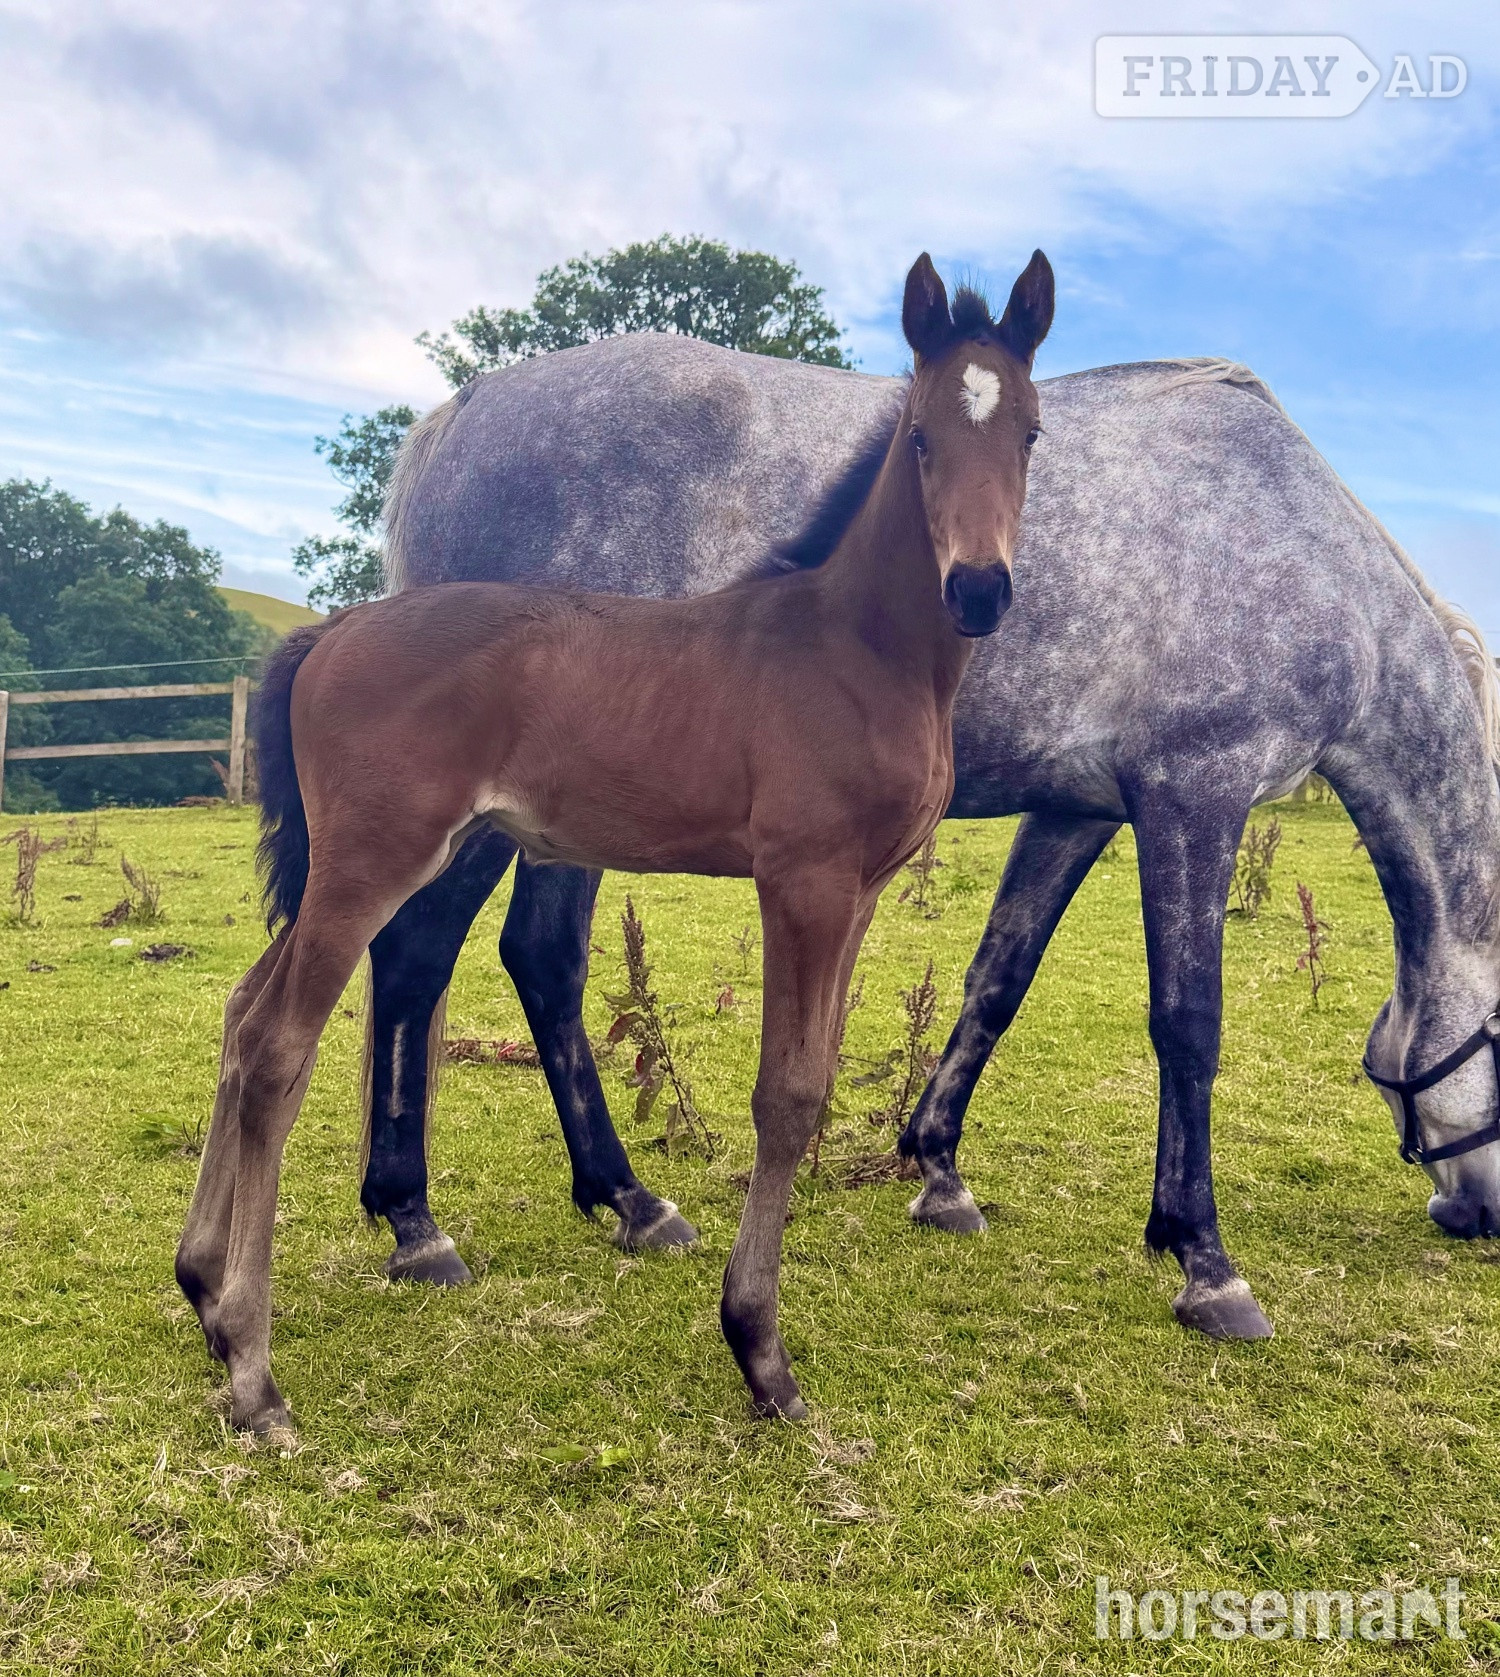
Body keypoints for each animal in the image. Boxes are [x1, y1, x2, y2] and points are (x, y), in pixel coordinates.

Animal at [174, 251, 1056, 1430]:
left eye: (1031, 433)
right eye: (919, 434)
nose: (980, 588)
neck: (850, 648)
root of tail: (335, 629)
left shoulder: (863, 889)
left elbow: (814, 1082)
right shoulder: (804, 880)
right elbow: (785, 1096)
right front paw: (760, 1352)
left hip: (346, 869)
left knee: (240, 1011)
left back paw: (202, 1289)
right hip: (372, 864)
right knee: (278, 1043)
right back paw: (253, 1371)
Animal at [355, 305, 1500, 1347]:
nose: (1477, 1215)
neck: (1306, 556)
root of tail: (464, 412)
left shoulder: (1077, 808)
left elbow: (999, 978)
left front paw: (941, 1173)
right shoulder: (1195, 794)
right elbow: (1188, 1025)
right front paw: (1207, 1264)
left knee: (532, 953)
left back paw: (623, 1202)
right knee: (430, 950)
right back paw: (422, 1223)